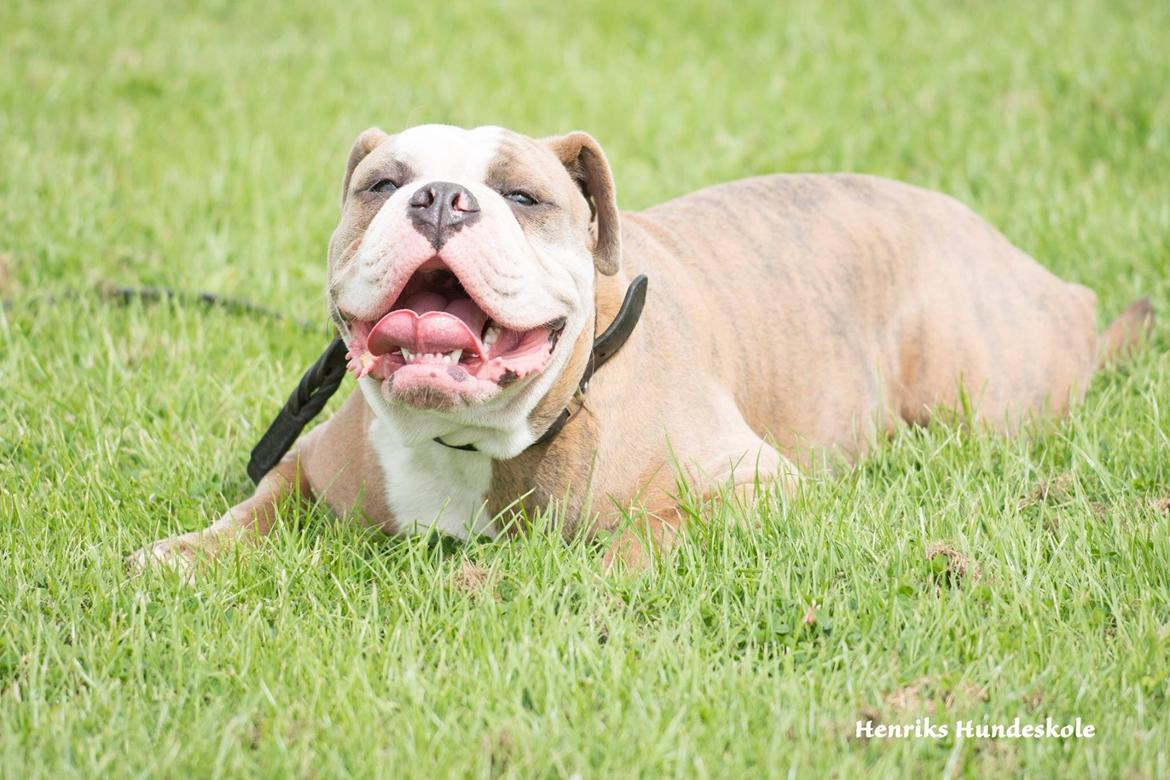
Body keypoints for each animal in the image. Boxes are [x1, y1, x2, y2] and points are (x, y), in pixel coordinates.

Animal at [128, 122, 1151, 573]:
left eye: (524, 195)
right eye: (381, 183)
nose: (442, 198)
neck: (465, 438)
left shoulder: (750, 488)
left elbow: (632, 540)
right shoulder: (306, 470)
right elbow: (253, 511)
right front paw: (180, 555)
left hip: (976, 394)